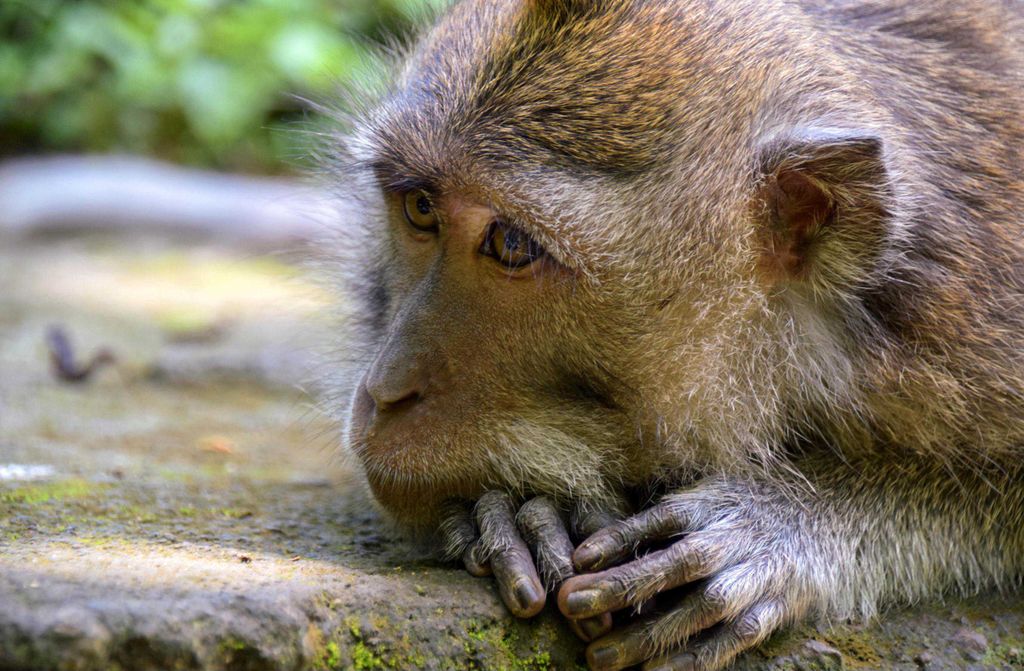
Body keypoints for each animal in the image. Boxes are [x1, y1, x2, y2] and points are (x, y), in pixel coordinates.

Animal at [323, 0, 1024, 669]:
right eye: (420, 208)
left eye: (512, 244)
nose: (386, 392)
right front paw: (522, 507)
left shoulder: (972, 329)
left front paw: (784, 522)